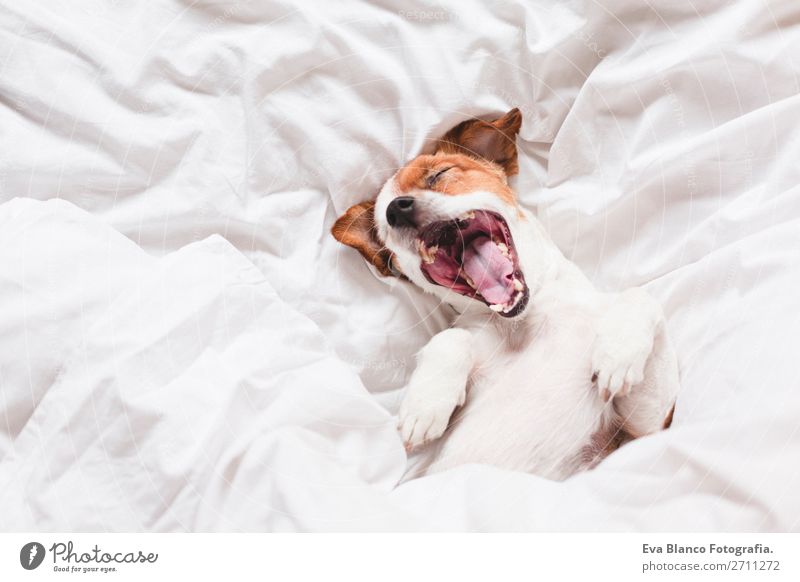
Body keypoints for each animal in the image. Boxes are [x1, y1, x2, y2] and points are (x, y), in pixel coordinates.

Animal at [330, 108, 676, 480]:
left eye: (439, 175)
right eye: (383, 225)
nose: (396, 209)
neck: (525, 321)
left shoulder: (647, 425)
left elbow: (640, 296)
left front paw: (618, 352)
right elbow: (450, 338)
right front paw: (426, 404)